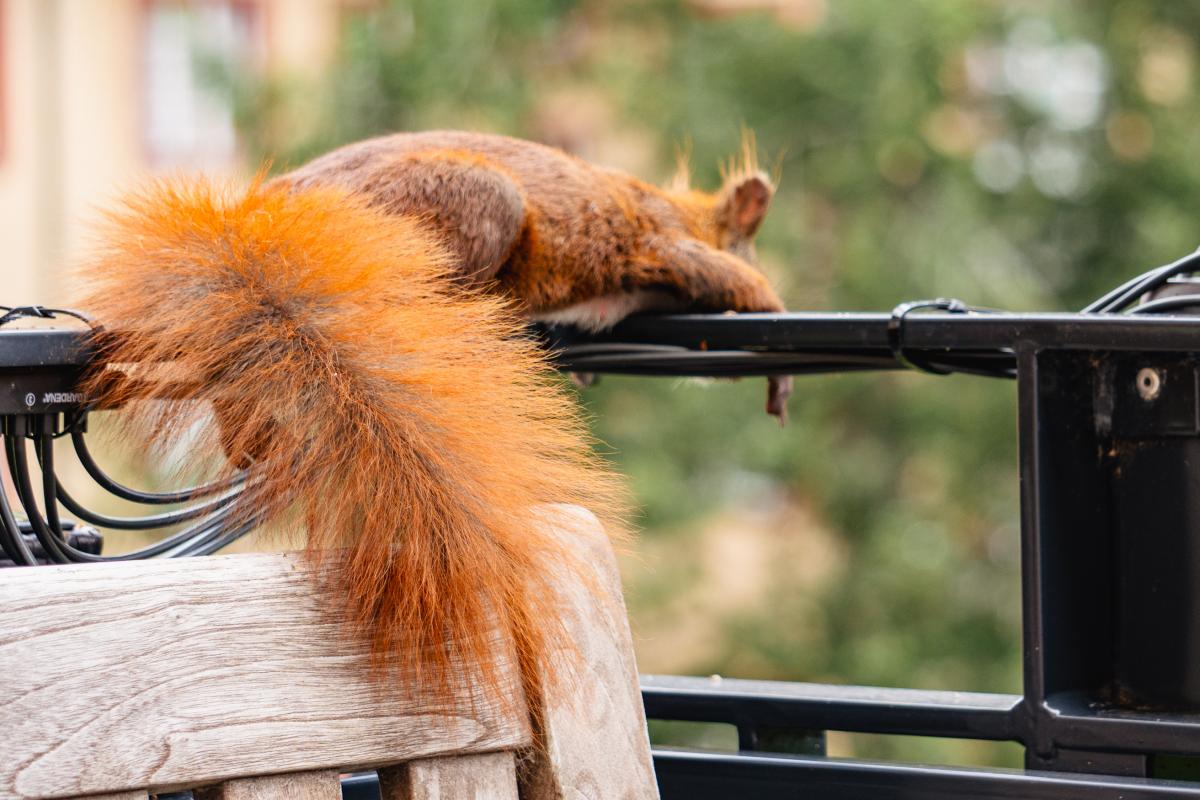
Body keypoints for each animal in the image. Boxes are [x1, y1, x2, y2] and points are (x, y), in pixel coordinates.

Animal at [75, 133, 787, 734]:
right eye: (750, 244)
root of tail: (272, 212)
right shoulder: (662, 243)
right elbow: (728, 280)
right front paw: (771, 323)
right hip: (470, 208)